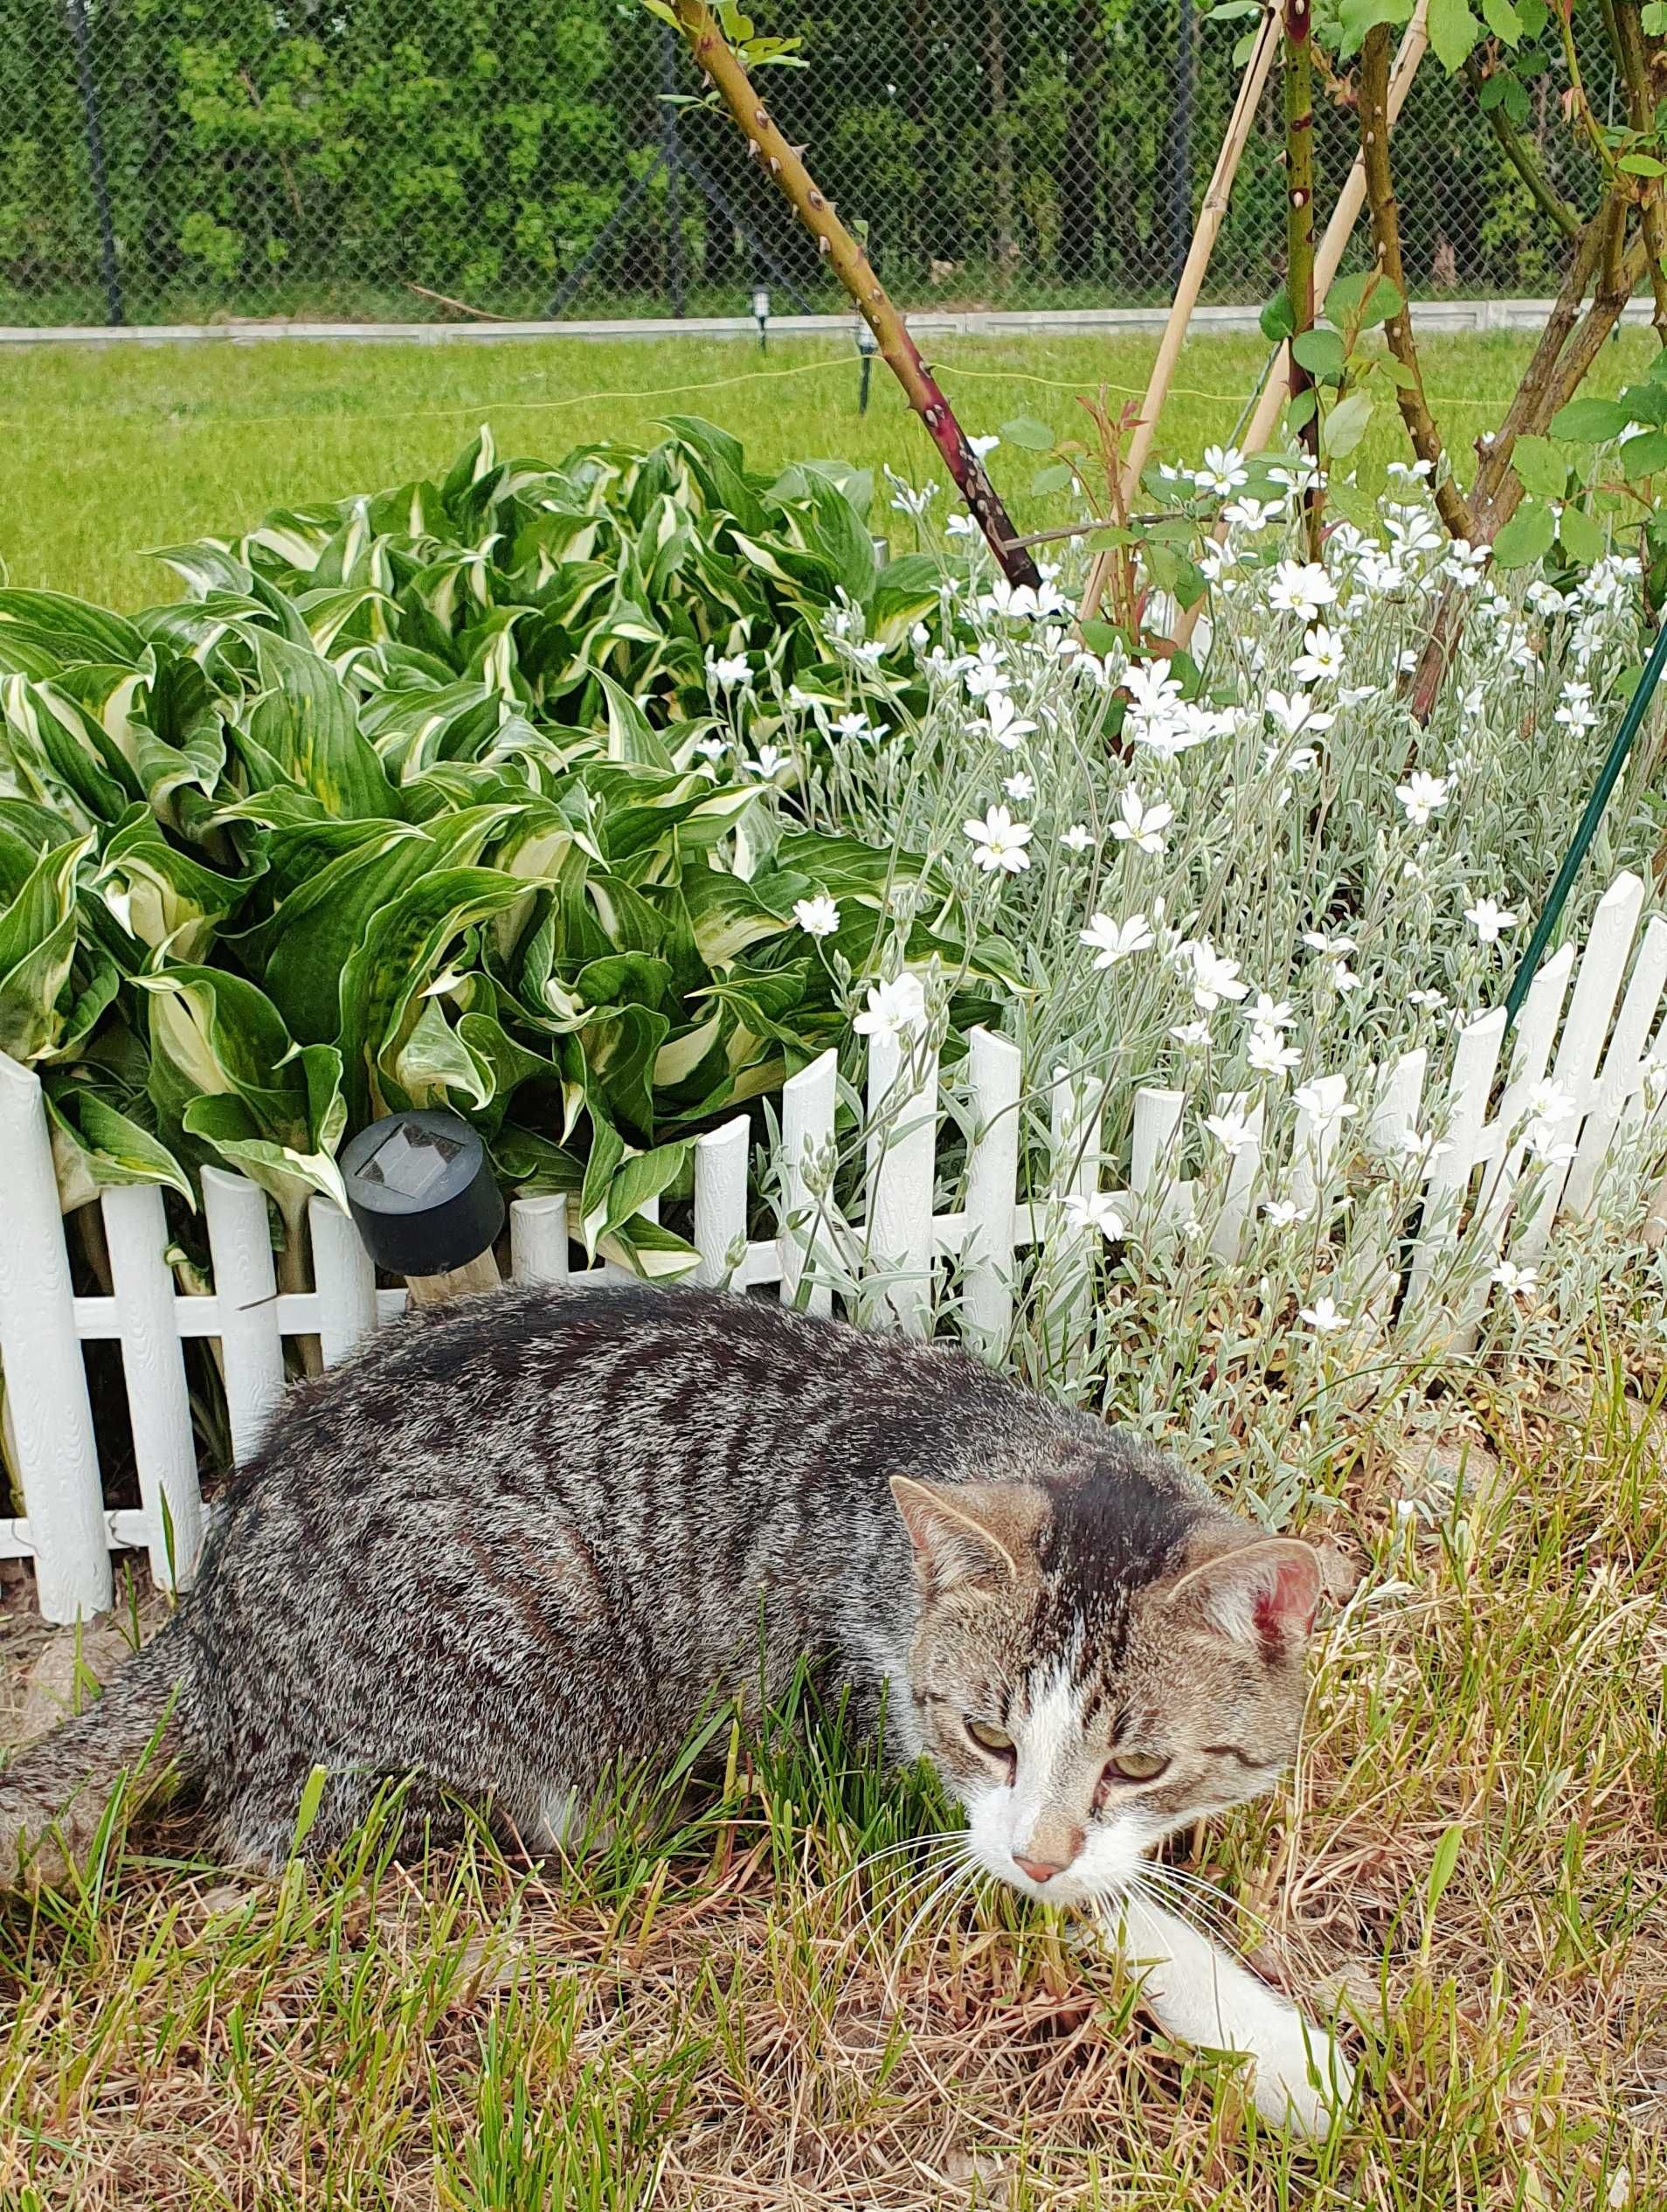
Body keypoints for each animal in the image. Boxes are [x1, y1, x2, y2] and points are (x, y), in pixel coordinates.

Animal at [0, 1291, 1352, 2132]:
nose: (1039, 1849)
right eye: (988, 1736)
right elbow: (1100, 1910)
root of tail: (204, 1608)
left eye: (1141, 1766)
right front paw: (1280, 2052)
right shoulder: (869, 1747)